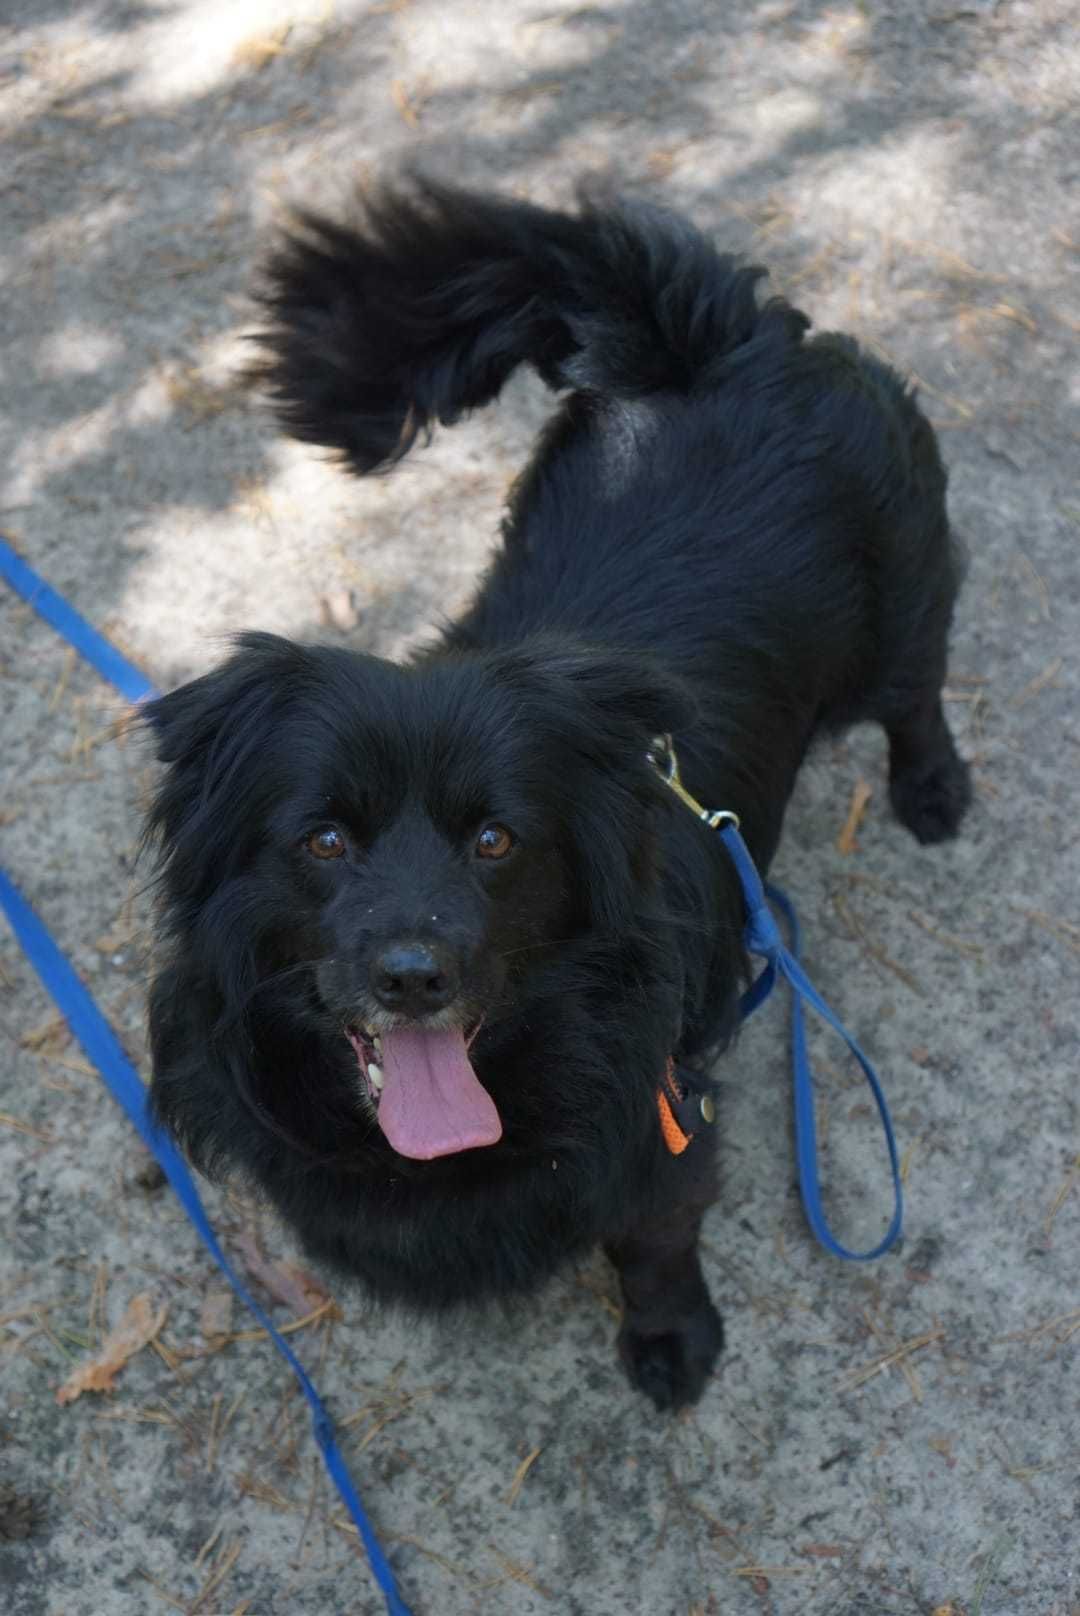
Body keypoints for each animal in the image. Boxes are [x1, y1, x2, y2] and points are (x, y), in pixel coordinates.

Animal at [143, 183, 970, 1409]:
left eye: (496, 839)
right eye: (324, 840)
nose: (414, 976)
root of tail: (723, 333)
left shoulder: (661, 1125)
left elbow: (655, 1239)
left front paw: (674, 1344)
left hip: (903, 606)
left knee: (918, 689)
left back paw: (935, 792)